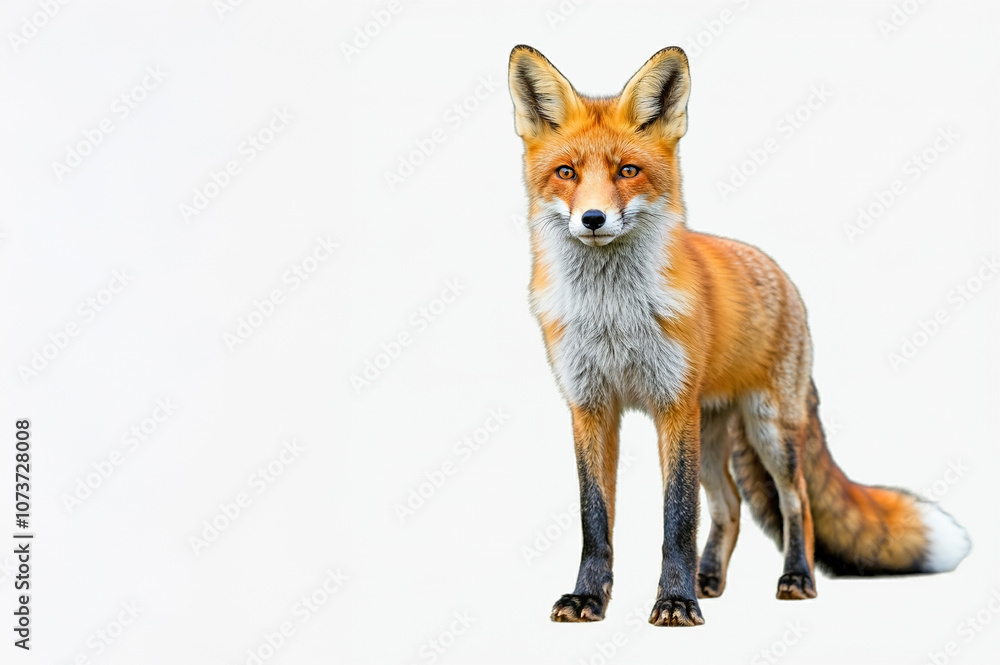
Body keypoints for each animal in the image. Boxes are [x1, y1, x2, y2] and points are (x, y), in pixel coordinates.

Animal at [507, 45, 971, 627]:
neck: (613, 315)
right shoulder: (590, 406)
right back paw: (709, 579)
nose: (593, 218)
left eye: (628, 171)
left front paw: (674, 601)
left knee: (797, 503)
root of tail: (778, 272)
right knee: (729, 506)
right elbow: (596, 519)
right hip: (711, 436)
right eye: (566, 172)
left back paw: (796, 578)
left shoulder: (672, 404)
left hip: (769, 429)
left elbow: (677, 518)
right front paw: (589, 597)